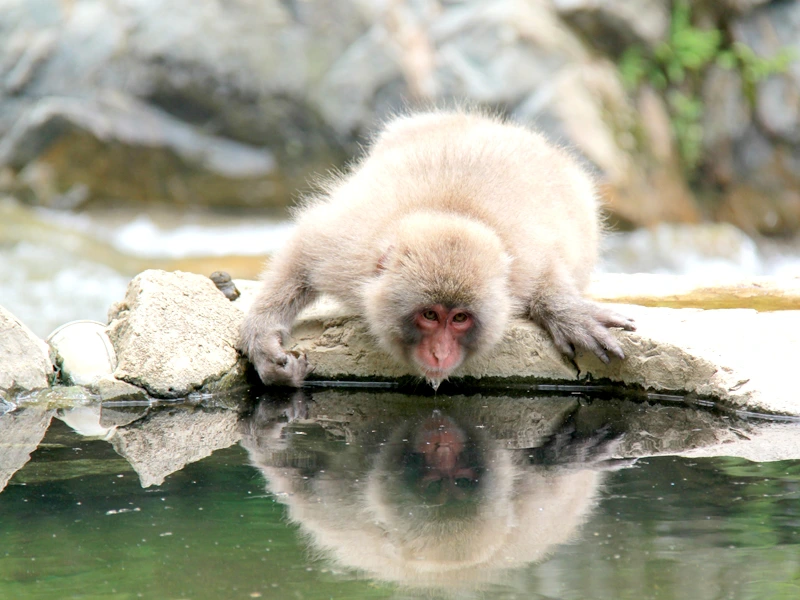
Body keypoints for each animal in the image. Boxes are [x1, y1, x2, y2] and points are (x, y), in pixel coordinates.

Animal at [240, 110, 635, 388]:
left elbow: (549, 269)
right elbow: (304, 250)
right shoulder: (348, 250)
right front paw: (264, 339)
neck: (450, 211)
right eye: (430, 315)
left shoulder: (523, 263)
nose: (439, 353)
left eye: (459, 318)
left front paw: (565, 310)